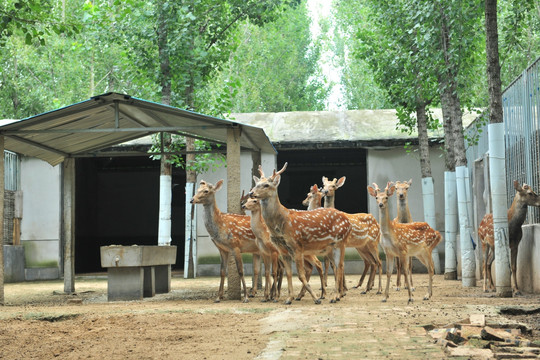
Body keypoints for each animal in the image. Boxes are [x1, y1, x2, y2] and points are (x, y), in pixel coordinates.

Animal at [248, 163, 352, 304]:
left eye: (266, 185)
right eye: (257, 183)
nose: (251, 193)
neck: (280, 224)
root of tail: (348, 221)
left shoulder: (296, 246)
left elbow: (300, 275)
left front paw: (315, 298)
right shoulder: (282, 250)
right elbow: (289, 274)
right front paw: (289, 298)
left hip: (341, 242)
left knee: (339, 266)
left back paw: (334, 296)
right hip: (330, 247)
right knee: (336, 266)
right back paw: (336, 295)